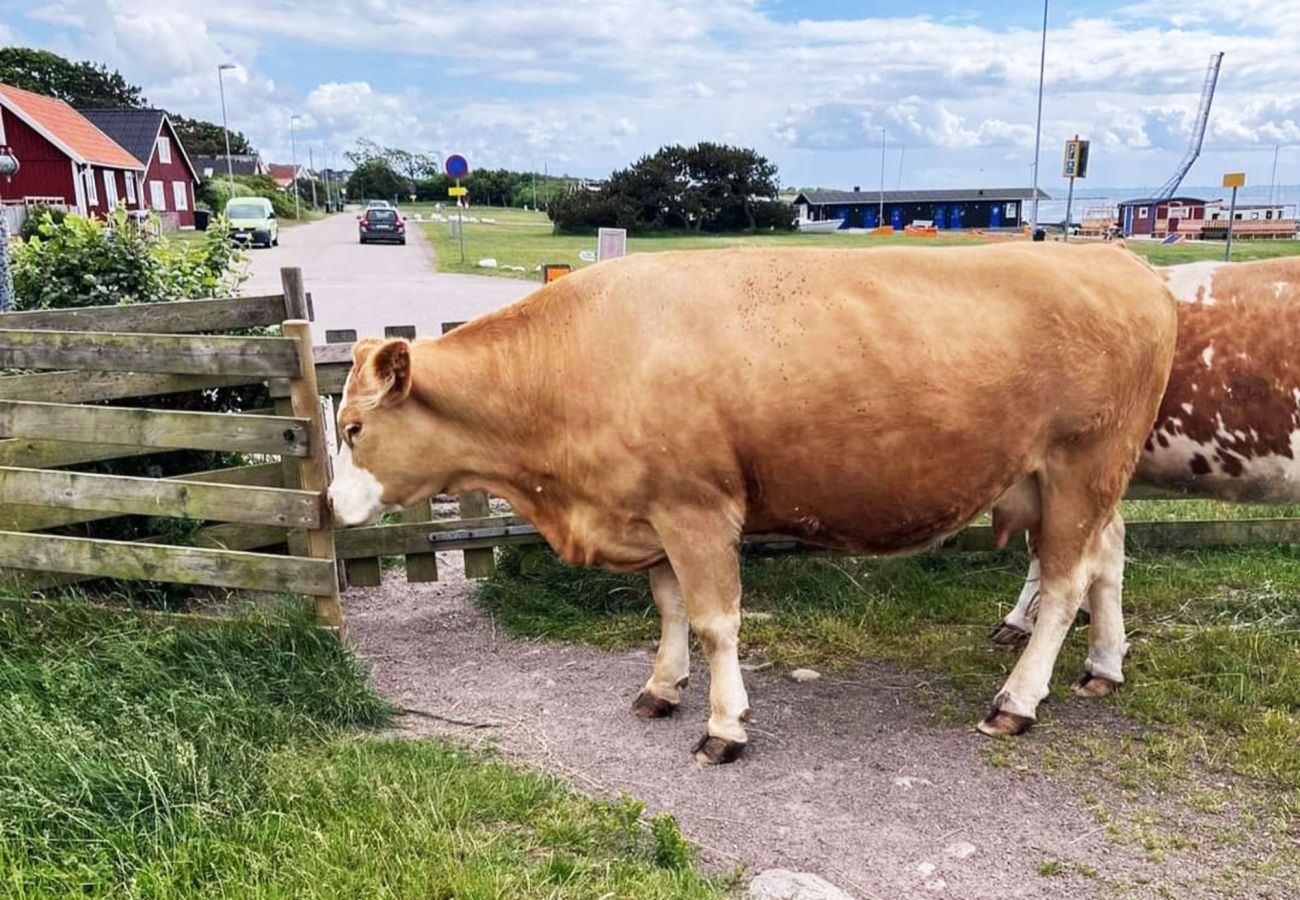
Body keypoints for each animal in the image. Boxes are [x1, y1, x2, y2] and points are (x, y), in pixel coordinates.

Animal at [327, 243, 1180, 764]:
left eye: (354, 428)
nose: (329, 507)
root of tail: (1117, 260)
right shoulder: (650, 511)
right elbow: (670, 609)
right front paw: (661, 688)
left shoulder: (696, 508)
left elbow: (714, 622)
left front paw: (724, 725)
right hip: (1080, 481)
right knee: (1108, 560)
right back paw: (1104, 666)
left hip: (1082, 465)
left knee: (1064, 584)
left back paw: (1018, 700)